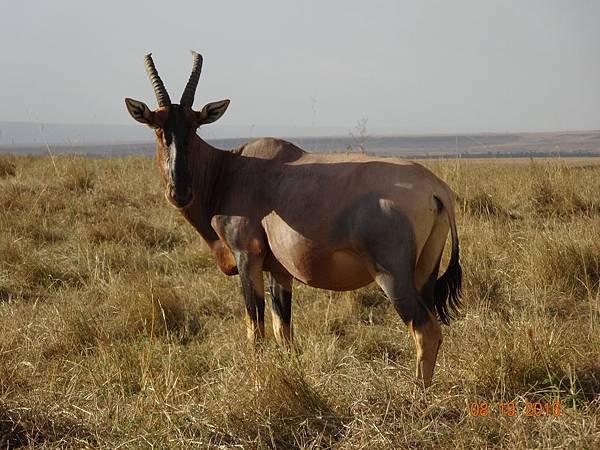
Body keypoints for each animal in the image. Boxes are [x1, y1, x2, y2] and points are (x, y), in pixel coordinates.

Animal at [125, 51, 464, 386]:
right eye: (158, 127)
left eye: (194, 127)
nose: (180, 191)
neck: (232, 169)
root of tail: (436, 188)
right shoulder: (279, 270)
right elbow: (283, 330)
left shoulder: (248, 257)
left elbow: (255, 328)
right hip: (424, 273)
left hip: (392, 276)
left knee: (425, 330)